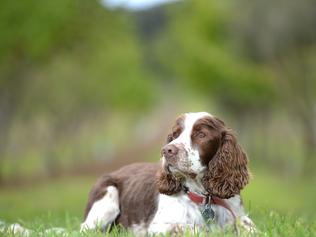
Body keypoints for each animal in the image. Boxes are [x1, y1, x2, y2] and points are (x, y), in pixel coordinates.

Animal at [81, 112, 254, 234]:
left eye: (201, 135)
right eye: (175, 135)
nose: (167, 150)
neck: (205, 197)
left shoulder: (238, 214)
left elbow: (248, 225)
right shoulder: (158, 226)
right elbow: (189, 228)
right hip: (108, 196)